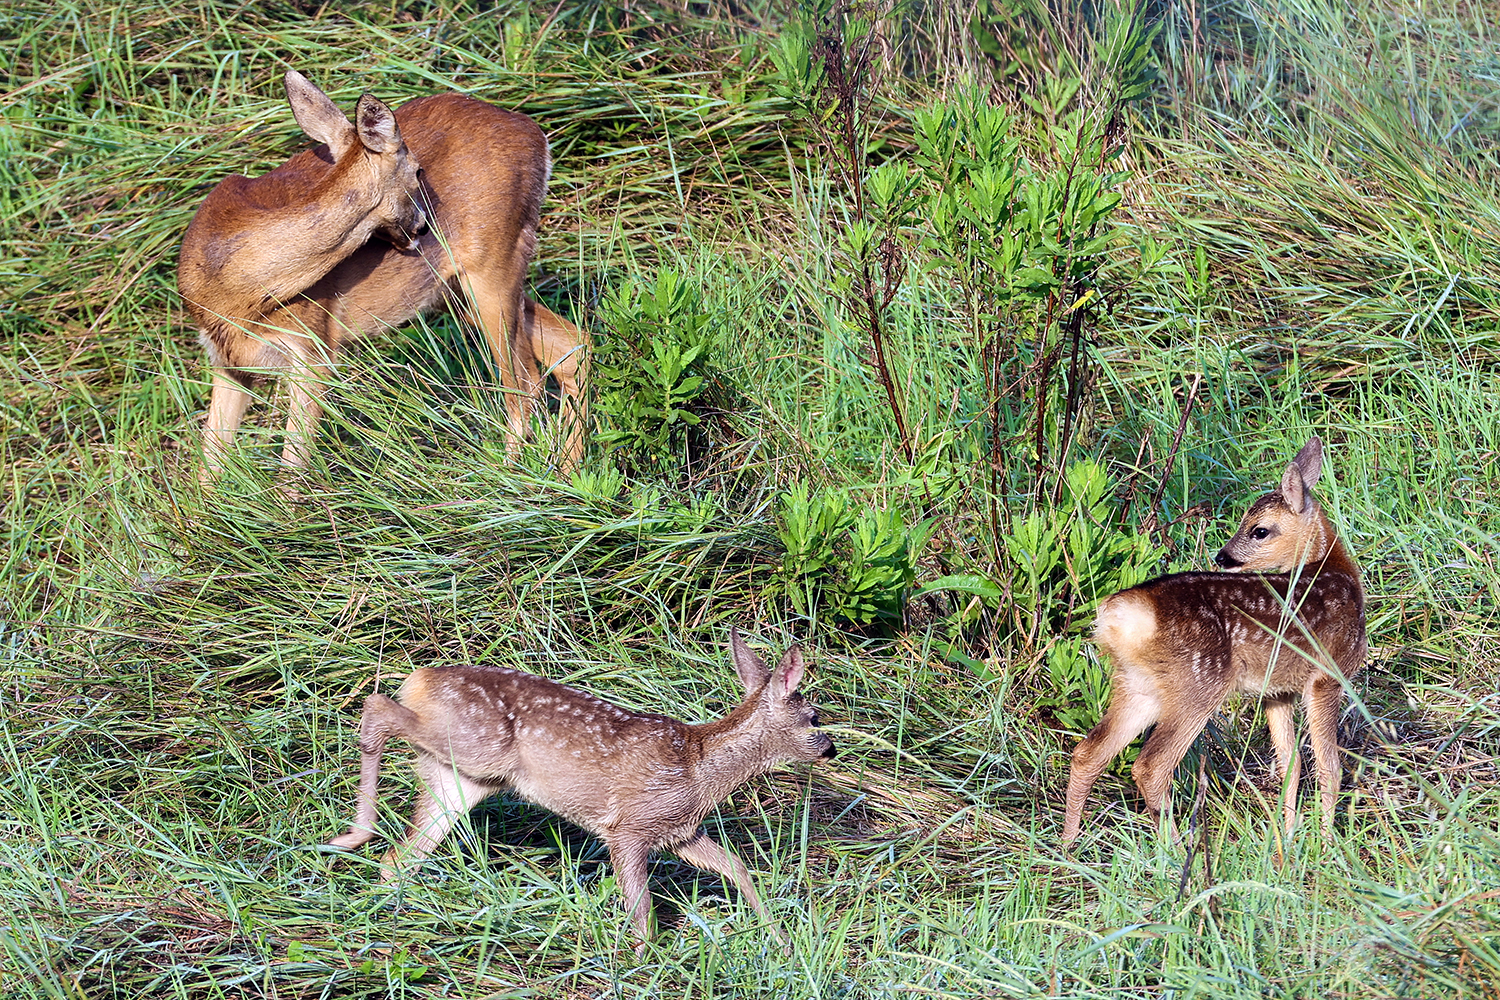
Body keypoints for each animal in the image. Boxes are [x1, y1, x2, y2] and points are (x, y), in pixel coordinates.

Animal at [178, 70, 588, 483]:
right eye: (418, 170)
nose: (424, 229)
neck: (235, 289)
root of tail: (533, 131)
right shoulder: (227, 361)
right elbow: (209, 469)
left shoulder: (313, 348)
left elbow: (291, 469)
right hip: (459, 291)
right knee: (569, 345)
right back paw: (569, 472)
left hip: (494, 260)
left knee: (525, 381)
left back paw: (510, 478)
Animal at [324, 630, 835, 952]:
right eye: (814, 718)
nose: (831, 747)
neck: (700, 770)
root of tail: (421, 678)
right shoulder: (628, 826)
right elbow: (642, 911)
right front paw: (644, 962)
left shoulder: (680, 830)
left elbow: (736, 867)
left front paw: (781, 940)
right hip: (476, 745)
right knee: (377, 705)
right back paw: (353, 836)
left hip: (463, 778)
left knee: (402, 856)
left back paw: (387, 903)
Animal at [1061, 437, 1366, 845]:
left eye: (1258, 530)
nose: (1223, 556)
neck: (1335, 571)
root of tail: (1120, 614)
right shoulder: (1326, 675)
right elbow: (1329, 767)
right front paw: (1327, 844)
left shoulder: (1278, 690)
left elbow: (1291, 763)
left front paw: (1287, 839)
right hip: (1198, 682)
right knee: (1150, 765)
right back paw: (1176, 847)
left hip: (1138, 685)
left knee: (1087, 753)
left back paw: (1067, 845)